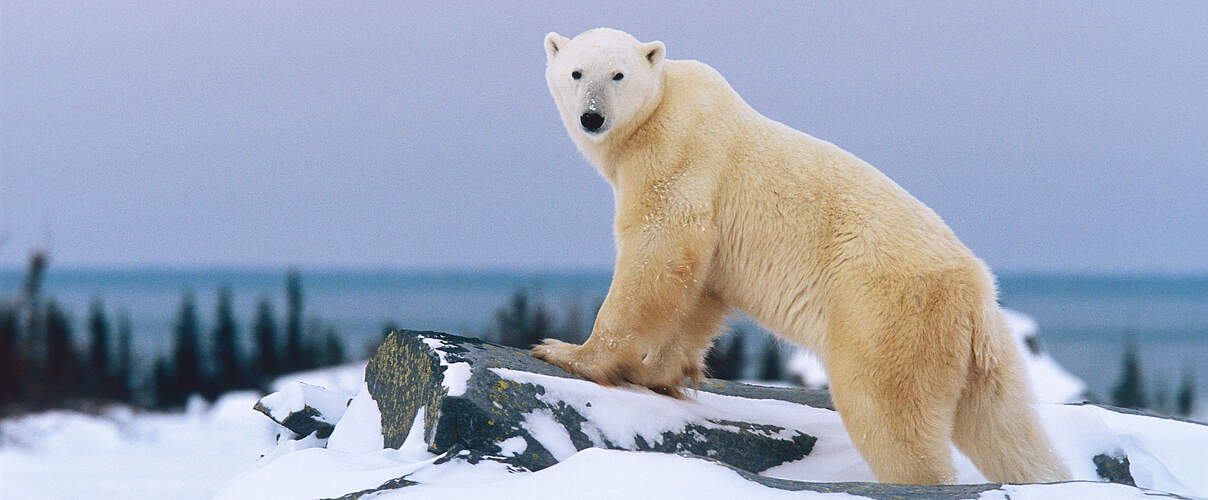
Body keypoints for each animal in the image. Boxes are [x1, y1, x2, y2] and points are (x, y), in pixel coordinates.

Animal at [533, 28, 1072, 485]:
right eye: (576, 72)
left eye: (617, 74)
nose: (592, 117)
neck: (662, 107)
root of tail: (975, 290)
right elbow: (701, 291)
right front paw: (660, 374)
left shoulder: (680, 158)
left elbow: (659, 253)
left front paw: (569, 353)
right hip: (986, 348)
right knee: (1006, 425)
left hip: (887, 314)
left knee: (888, 415)